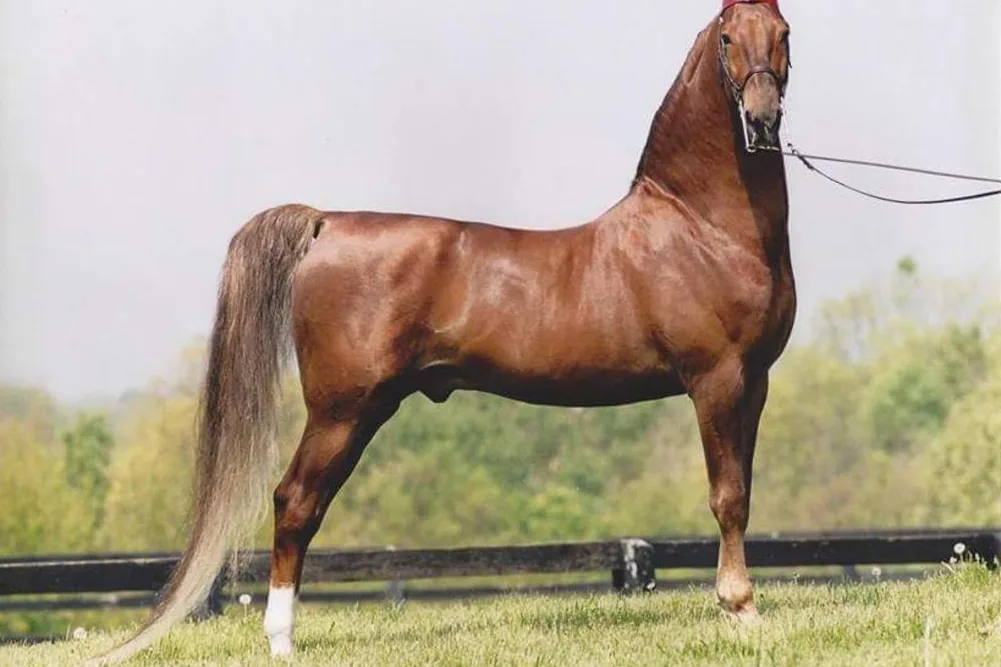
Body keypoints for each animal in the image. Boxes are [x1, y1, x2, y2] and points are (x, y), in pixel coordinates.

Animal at [92, 0, 794, 662]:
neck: (698, 226)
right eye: (728, 37)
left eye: (784, 34)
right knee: (295, 502)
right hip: (343, 410)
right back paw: (282, 639)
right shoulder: (715, 379)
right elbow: (727, 495)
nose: (761, 120)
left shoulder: (753, 383)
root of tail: (326, 221)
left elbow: (747, 490)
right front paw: (740, 608)